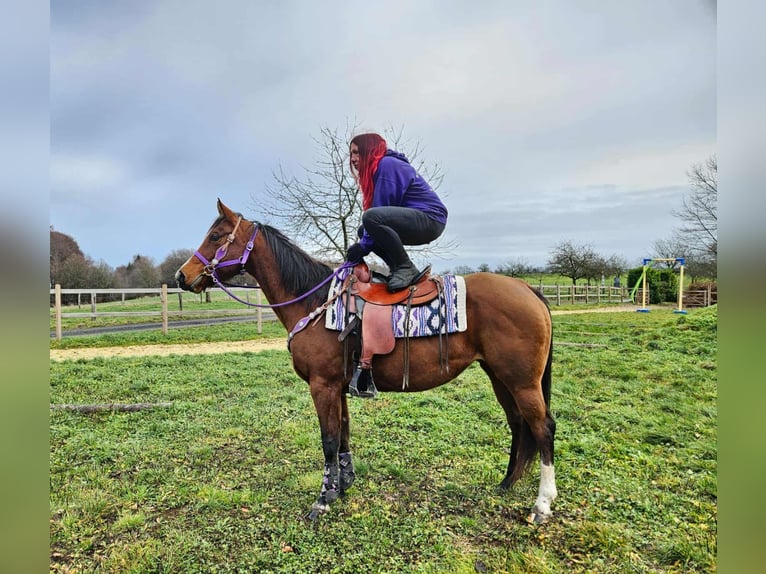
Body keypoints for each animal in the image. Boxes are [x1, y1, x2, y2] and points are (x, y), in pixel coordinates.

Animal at [175, 199, 557, 522]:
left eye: (216, 236)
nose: (181, 275)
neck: (315, 301)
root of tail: (528, 289)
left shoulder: (323, 386)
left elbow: (328, 440)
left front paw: (322, 500)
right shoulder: (339, 387)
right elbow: (343, 434)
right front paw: (342, 486)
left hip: (522, 381)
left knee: (543, 428)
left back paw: (541, 505)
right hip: (500, 376)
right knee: (519, 425)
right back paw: (506, 484)